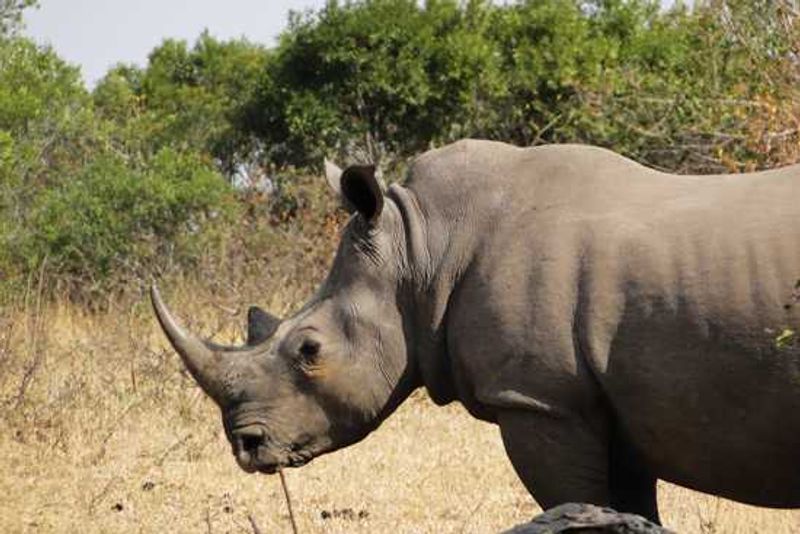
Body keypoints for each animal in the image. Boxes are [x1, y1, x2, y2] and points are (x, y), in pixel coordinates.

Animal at [152, 140, 800, 524]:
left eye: (310, 350)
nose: (246, 446)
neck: (422, 248)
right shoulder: (614, 404)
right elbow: (631, 509)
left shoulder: (540, 400)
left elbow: (582, 503)